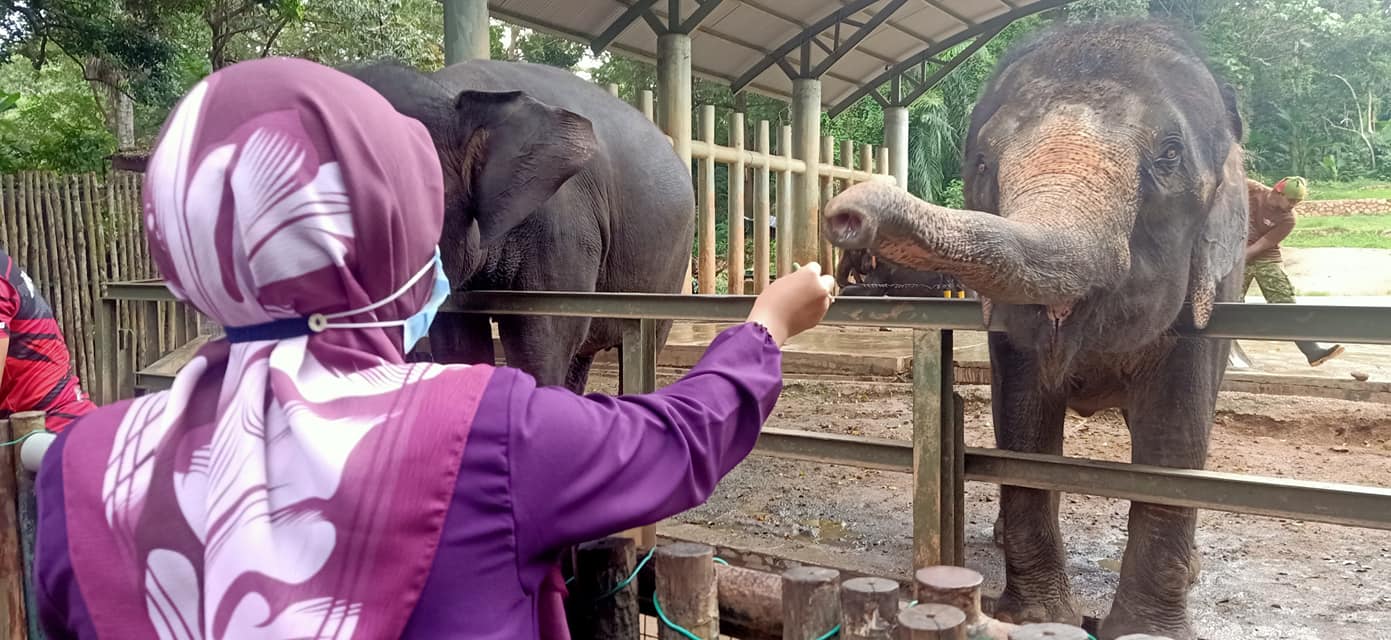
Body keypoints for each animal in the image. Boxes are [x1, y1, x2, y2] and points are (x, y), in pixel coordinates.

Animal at [817, 20, 1246, 640]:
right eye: (982, 162)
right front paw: (1038, 619)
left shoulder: (1211, 295)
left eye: (1171, 155)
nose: (847, 210)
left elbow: (1176, 431)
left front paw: (1146, 631)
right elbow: (1022, 417)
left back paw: (1190, 570)